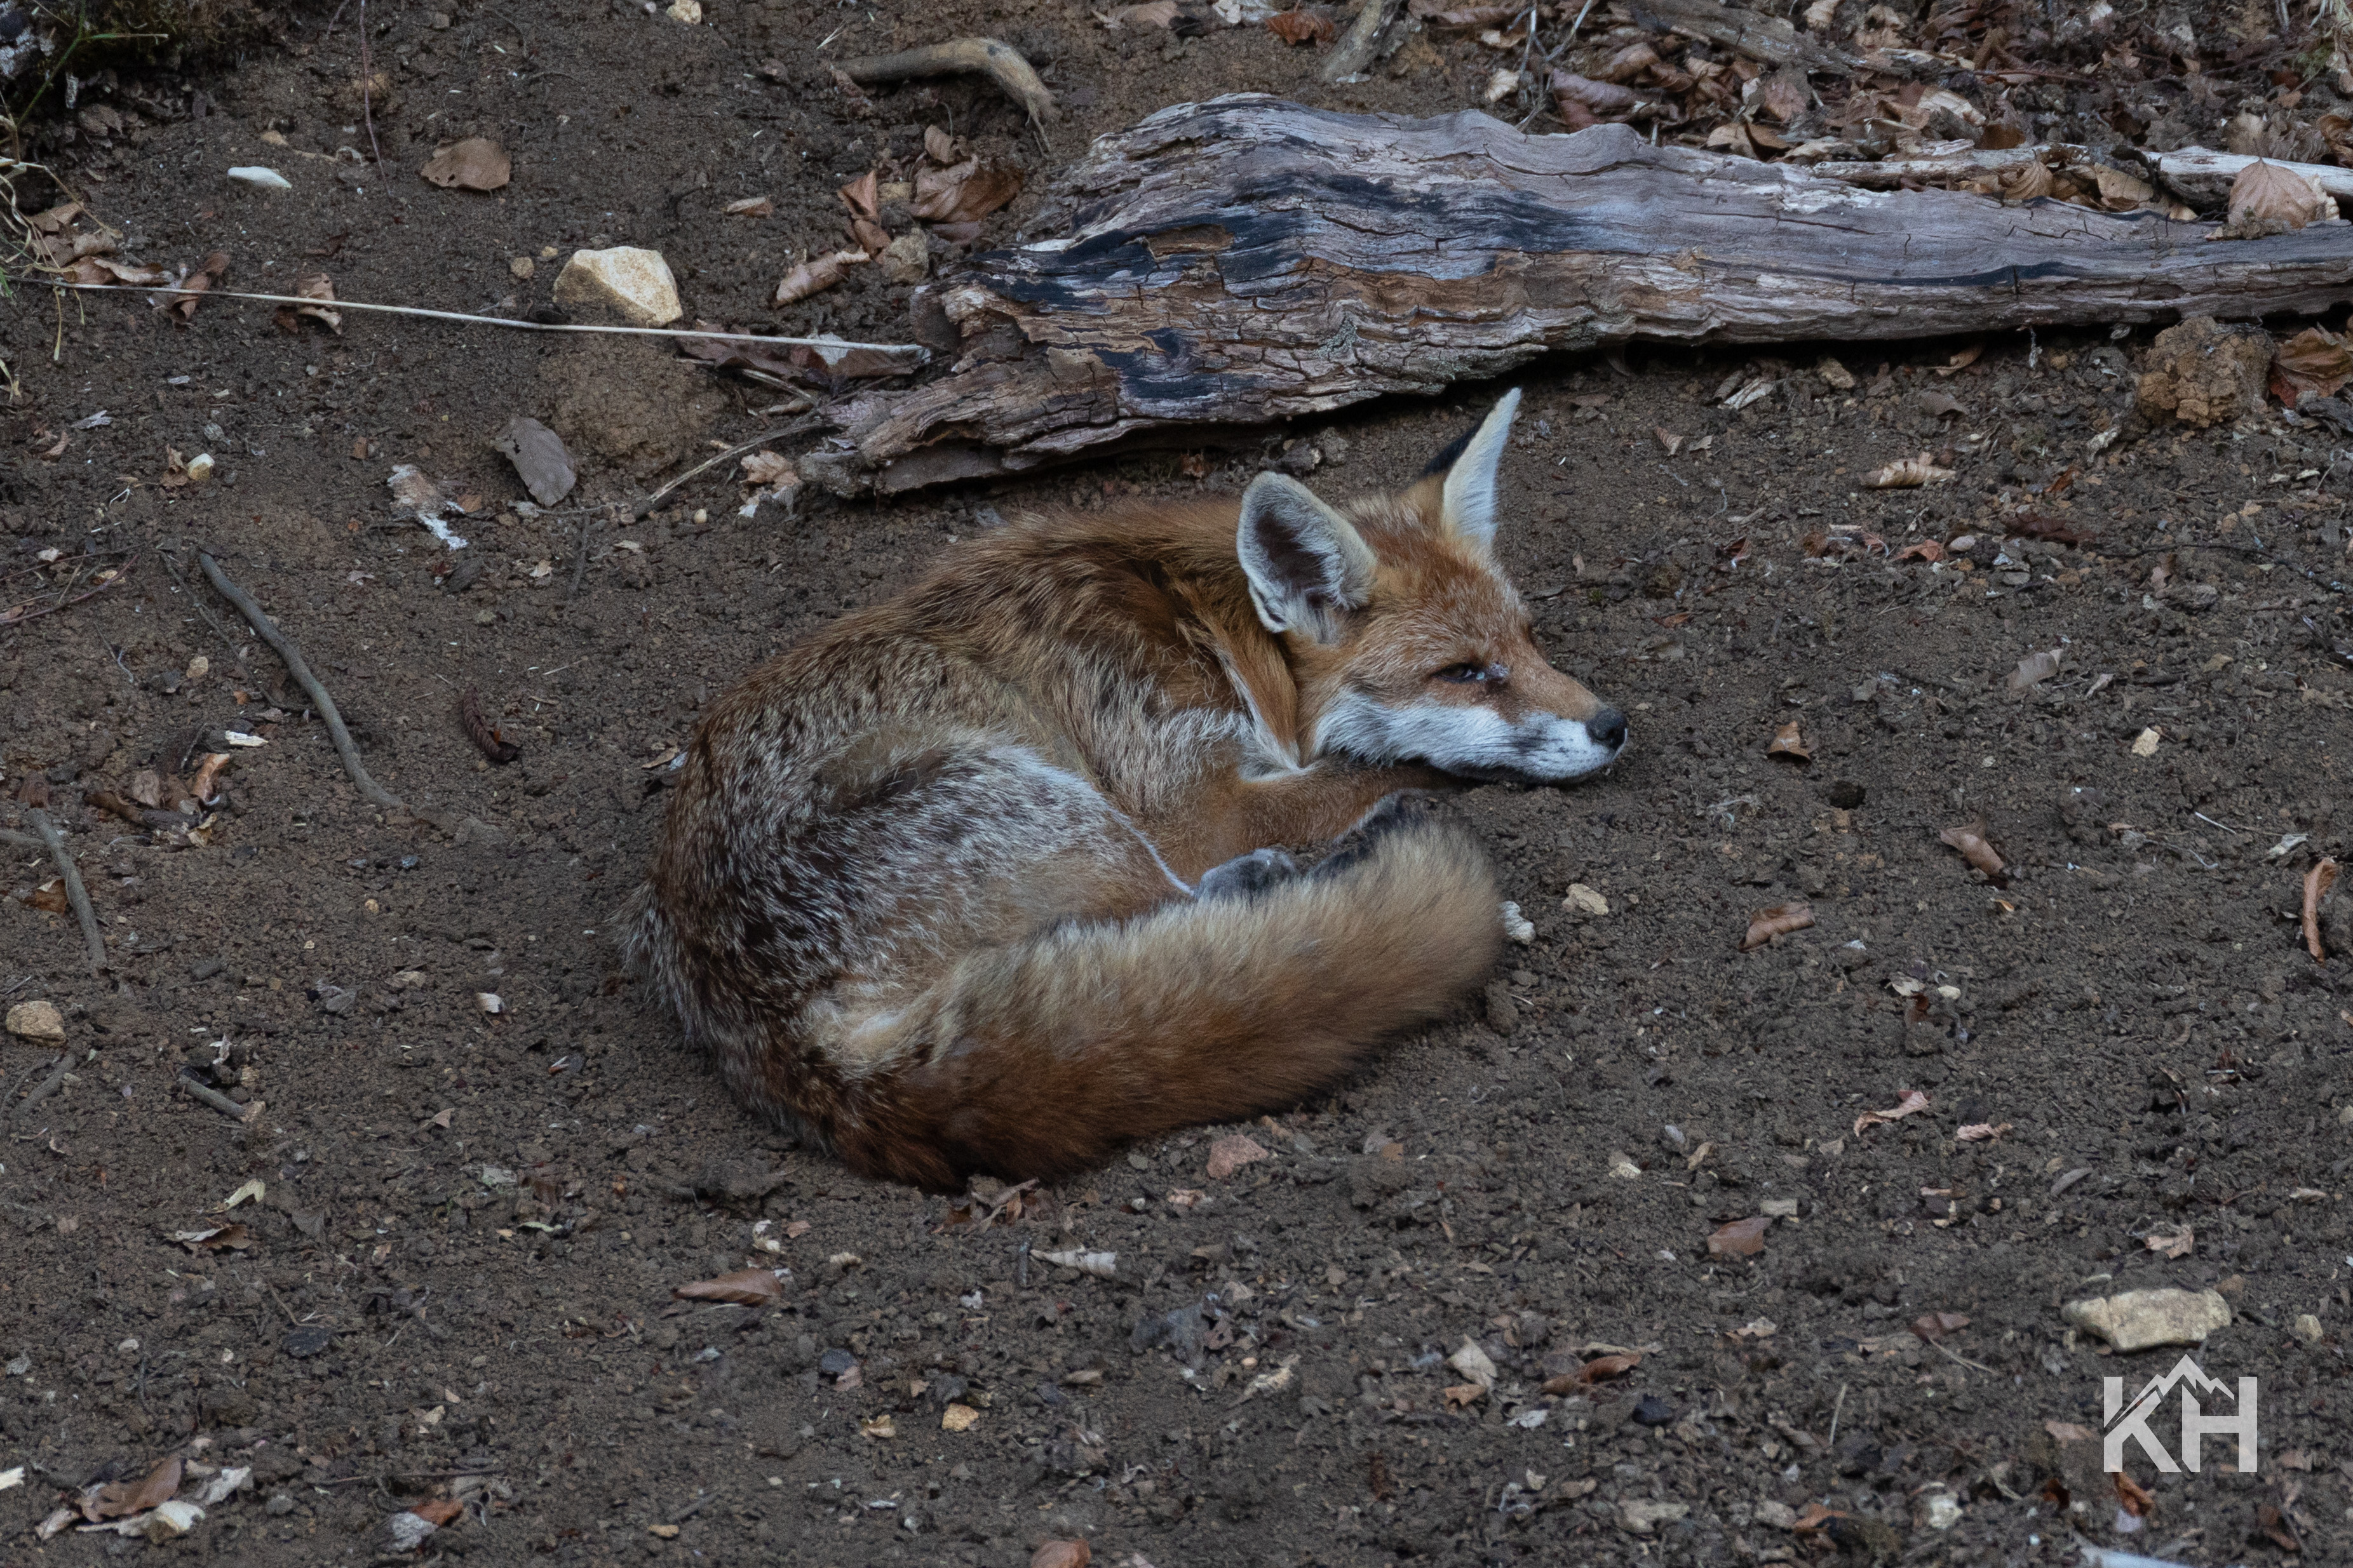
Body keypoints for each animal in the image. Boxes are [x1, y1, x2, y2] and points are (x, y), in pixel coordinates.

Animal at [624, 389, 1626, 1190]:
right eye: (1463, 673)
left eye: (1530, 640)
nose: (1613, 726)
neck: (1218, 637)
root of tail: (786, 1045)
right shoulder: (1191, 803)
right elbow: (1372, 763)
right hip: (1056, 804)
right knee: (1160, 903)